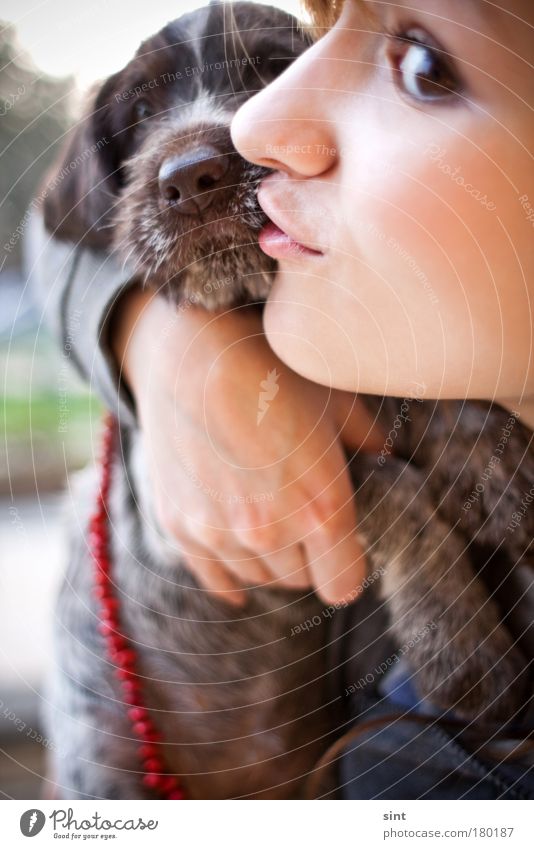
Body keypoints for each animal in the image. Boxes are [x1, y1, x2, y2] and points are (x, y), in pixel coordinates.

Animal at [40, 0, 532, 800]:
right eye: (140, 113)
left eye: (275, 69)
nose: (193, 179)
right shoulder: (190, 518)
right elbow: (387, 484)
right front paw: (466, 656)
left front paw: (487, 450)